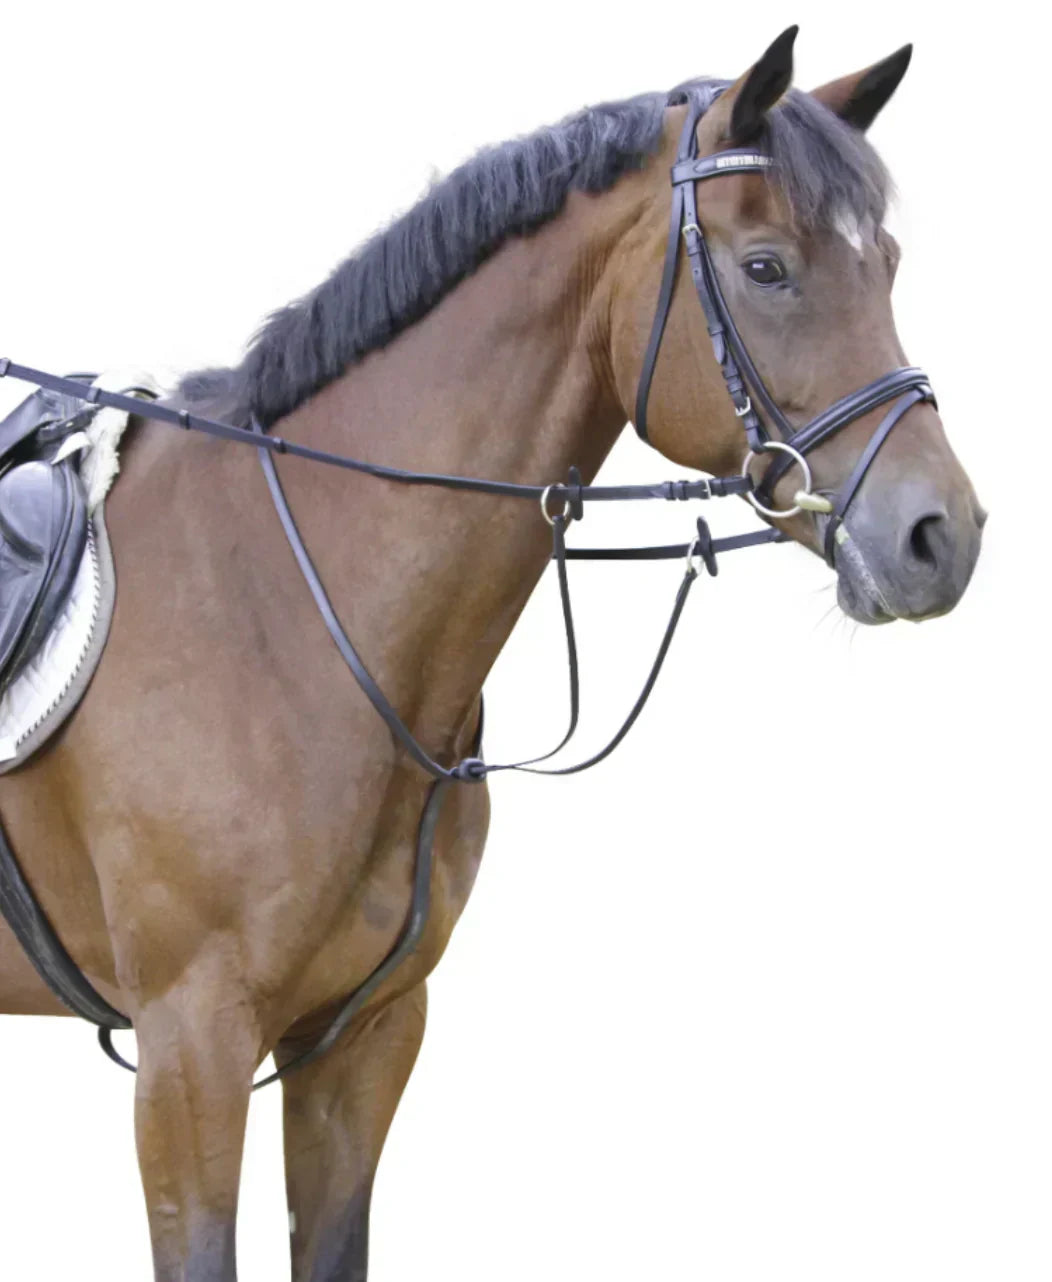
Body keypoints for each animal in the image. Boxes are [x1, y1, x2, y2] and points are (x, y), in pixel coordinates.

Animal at [0, 28, 984, 1282]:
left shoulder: (362, 1038)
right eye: (765, 267)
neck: (280, 602)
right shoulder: (190, 1049)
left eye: (888, 262)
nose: (939, 535)